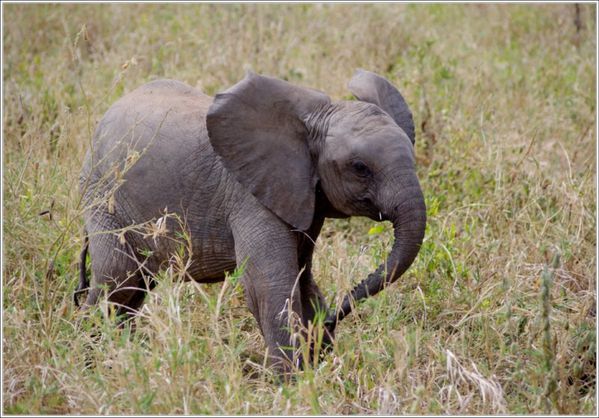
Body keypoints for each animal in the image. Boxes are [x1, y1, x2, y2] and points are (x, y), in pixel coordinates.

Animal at [76, 69, 426, 372]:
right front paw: (291, 382)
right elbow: (270, 284)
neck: (310, 121)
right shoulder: (250, 197)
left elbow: (302, 278)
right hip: (102, 195)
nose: (331, 320)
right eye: (360, 168)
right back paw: (91, 359)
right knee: (115, 279)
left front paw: (314, 364)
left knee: (133, 289)